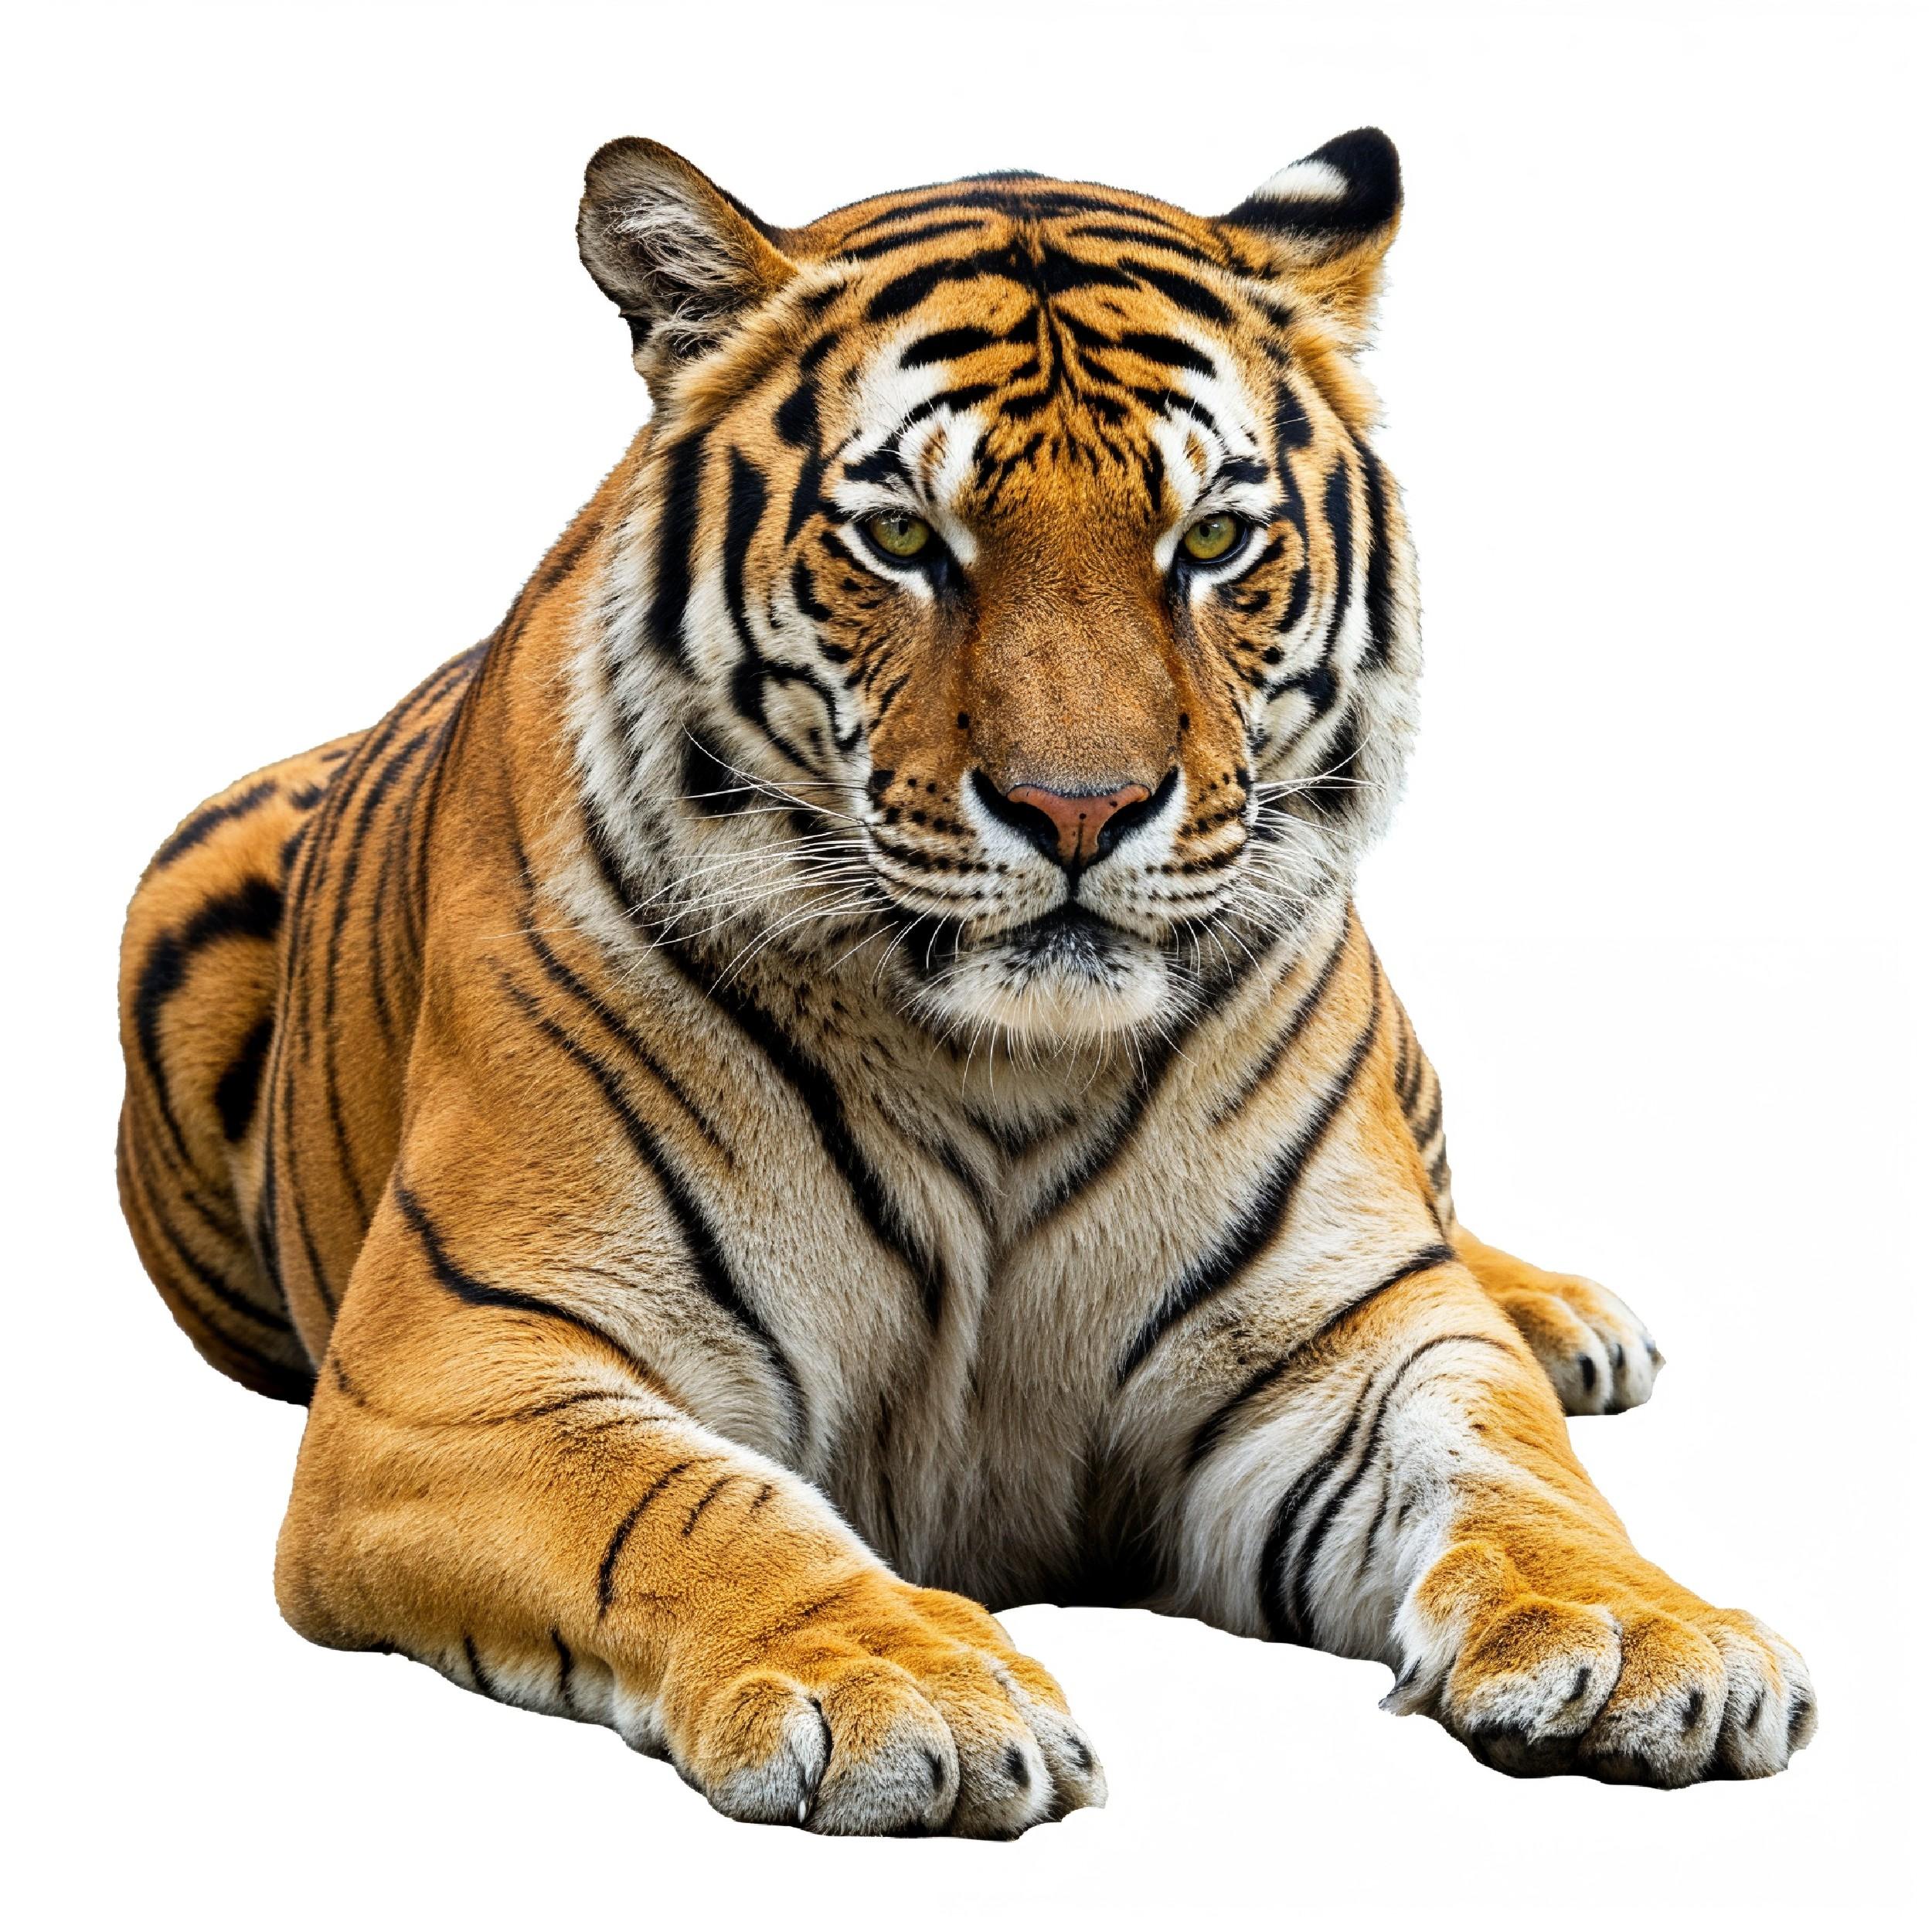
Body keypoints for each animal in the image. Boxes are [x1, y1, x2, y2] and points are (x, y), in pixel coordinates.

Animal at [116, 128, 1815, 1834]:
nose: (1079, 808)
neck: (1003, 1060)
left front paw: (1637, 1630)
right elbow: (686, 1499)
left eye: (1211, 542)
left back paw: (1554, 1313)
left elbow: (1507, 1463)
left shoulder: (1349, 1338)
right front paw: (888, 1680)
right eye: (903, 542)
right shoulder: (463, 1364)